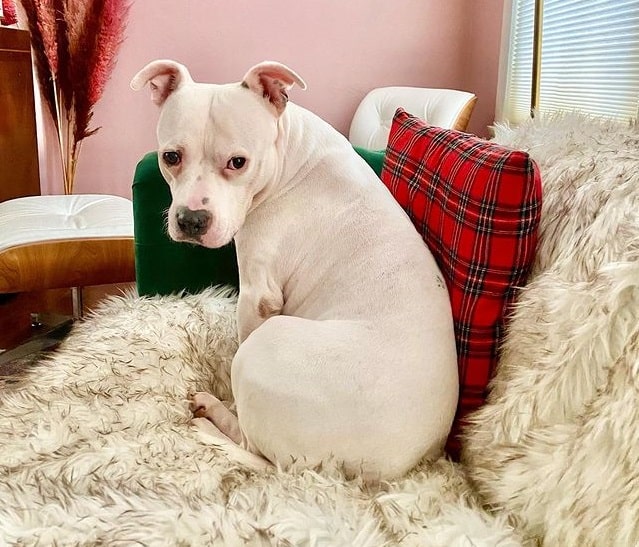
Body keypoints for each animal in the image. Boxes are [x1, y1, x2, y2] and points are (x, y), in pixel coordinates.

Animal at [131, 60, 460, 480]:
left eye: (238, 162)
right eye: (171, 157)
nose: (191, 219)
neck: (288, 152)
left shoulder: (257, 296)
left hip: (265, 346)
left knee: (249, 444)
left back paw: (210, 417)